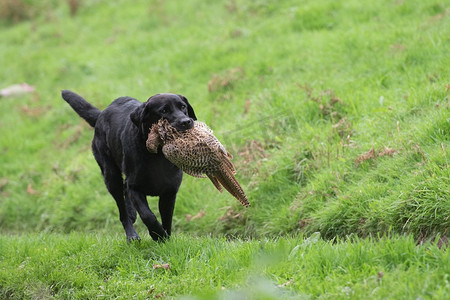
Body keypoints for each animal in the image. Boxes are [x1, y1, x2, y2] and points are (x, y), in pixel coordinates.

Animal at [60, 90, 196, 243]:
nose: (186, 121)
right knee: (122, 210)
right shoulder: (135, 188)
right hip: (111, 176)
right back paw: (132, 235)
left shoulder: (170, 191)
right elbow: (148, 215)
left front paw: (165, 238)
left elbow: (167, 218)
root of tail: (101, 114)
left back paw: (132, 214)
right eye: (164, 111)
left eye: (183, 106)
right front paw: (157, 234)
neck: (157, 156)